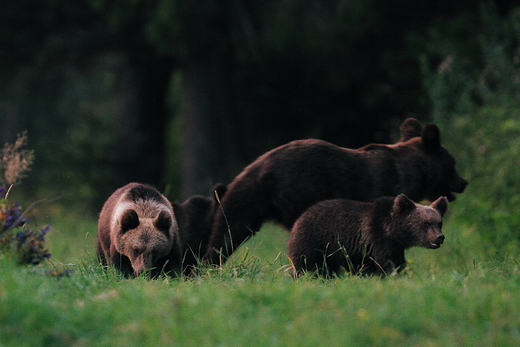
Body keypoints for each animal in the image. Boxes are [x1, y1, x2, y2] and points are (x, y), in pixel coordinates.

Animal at [204, 118, 468, 266]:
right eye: (452, 163)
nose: (464, 182)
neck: (413, 173)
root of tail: (259, 166)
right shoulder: (381, 191)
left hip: (249, 200)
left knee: (227, 230)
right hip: (300, 191)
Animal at [286, 193, 448, 278]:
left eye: (439, 222)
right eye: (426, 223)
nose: (439, 237)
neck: (392, 231)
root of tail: (299, 218)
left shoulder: (392, 245)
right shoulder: (379, 238)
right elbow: (389, 263)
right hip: (315, 242)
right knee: (308, 266)